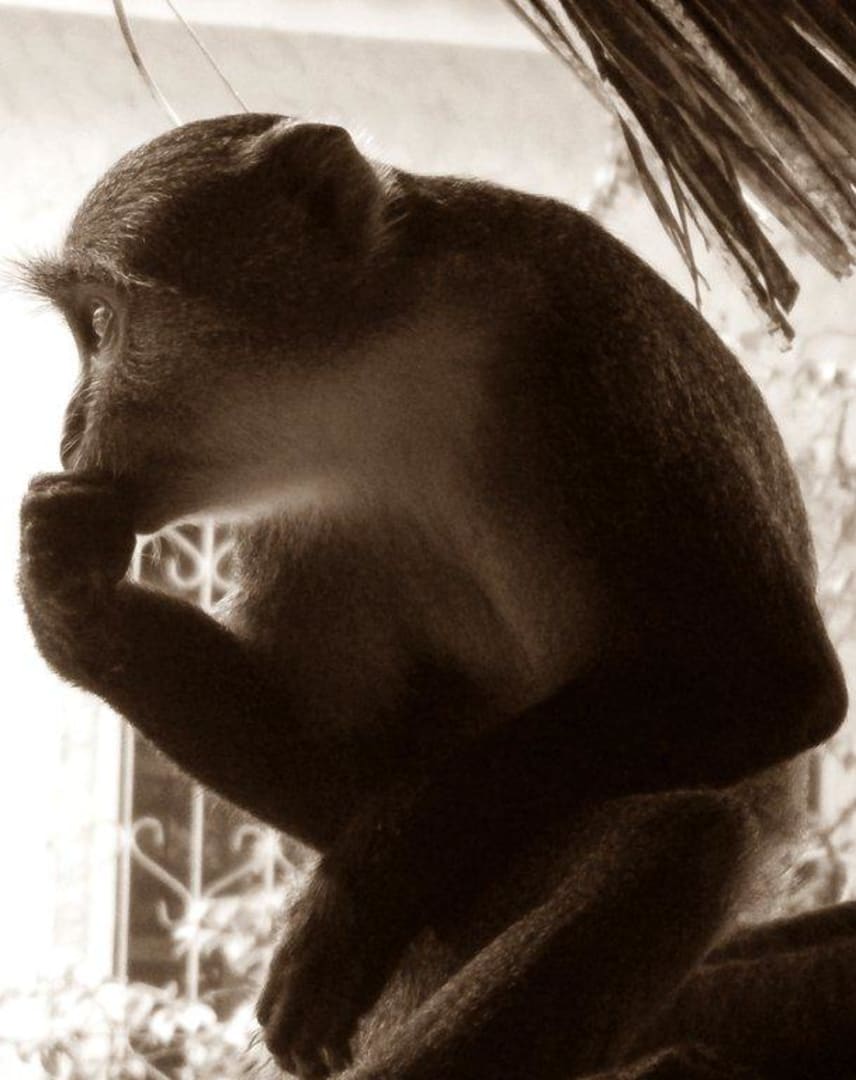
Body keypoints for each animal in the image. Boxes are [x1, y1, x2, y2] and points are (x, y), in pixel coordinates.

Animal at [17, 114, 850, 1079]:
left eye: (102, 322)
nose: (68, 429)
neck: (385, 369)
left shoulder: (586, 340)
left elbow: (773, 677)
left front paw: (363, 884)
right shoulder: (302, 519)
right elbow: (336, 776)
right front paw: (69, 600)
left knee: (686, 837)